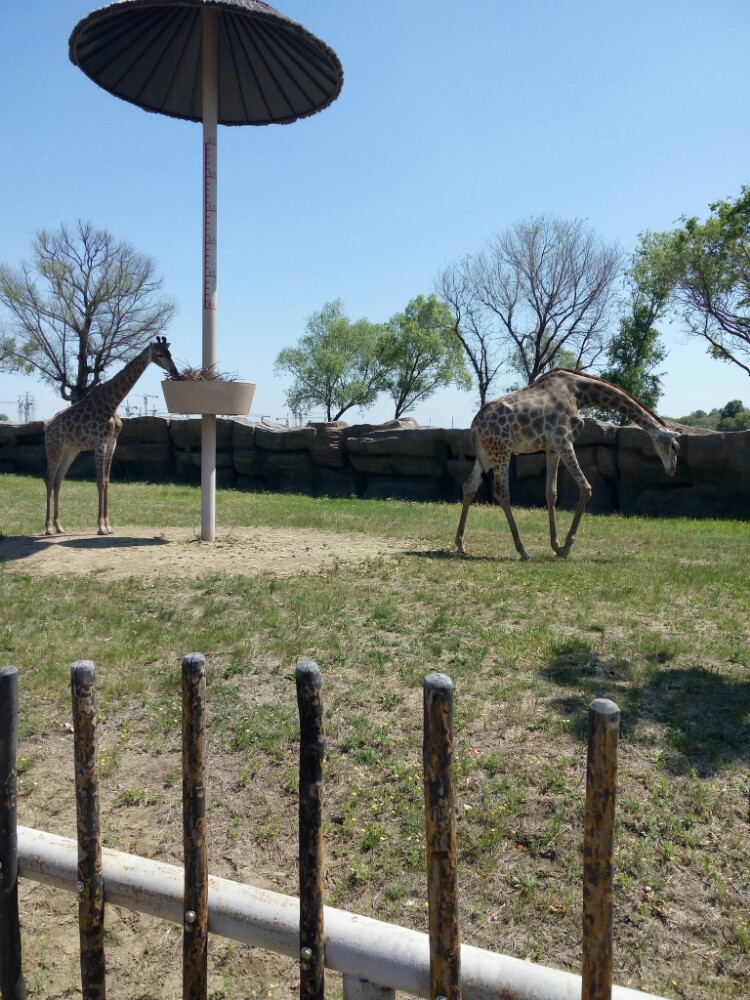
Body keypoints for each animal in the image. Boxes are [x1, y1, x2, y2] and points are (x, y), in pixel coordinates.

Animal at [44, 336, 179, 536]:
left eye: (170, 353)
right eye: (160, 354)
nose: (175, 372)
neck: (113, 402)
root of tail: (47, 428)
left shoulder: (111, 442)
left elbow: (107, 482)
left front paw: (108, 525)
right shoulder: (100, 442)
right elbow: (100, 482)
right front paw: (101, 527)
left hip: (70, 450)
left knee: (58, 481)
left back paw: (59, 526)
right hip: (54, 448)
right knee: (49, 478)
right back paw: (48, 528)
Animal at [456, 368, 684, 560]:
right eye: (675, 446)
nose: (672, 470)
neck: (578, 392)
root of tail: (474, 425)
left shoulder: (552, 448)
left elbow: (551, 492)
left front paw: (556, 546)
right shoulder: (564, 441)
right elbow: (586, 488)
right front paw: (566, 547)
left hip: (486, 453)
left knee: (469, 486)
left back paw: (460, 544)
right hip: (502, 448)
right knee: (502, 492)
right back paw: (522, 550)